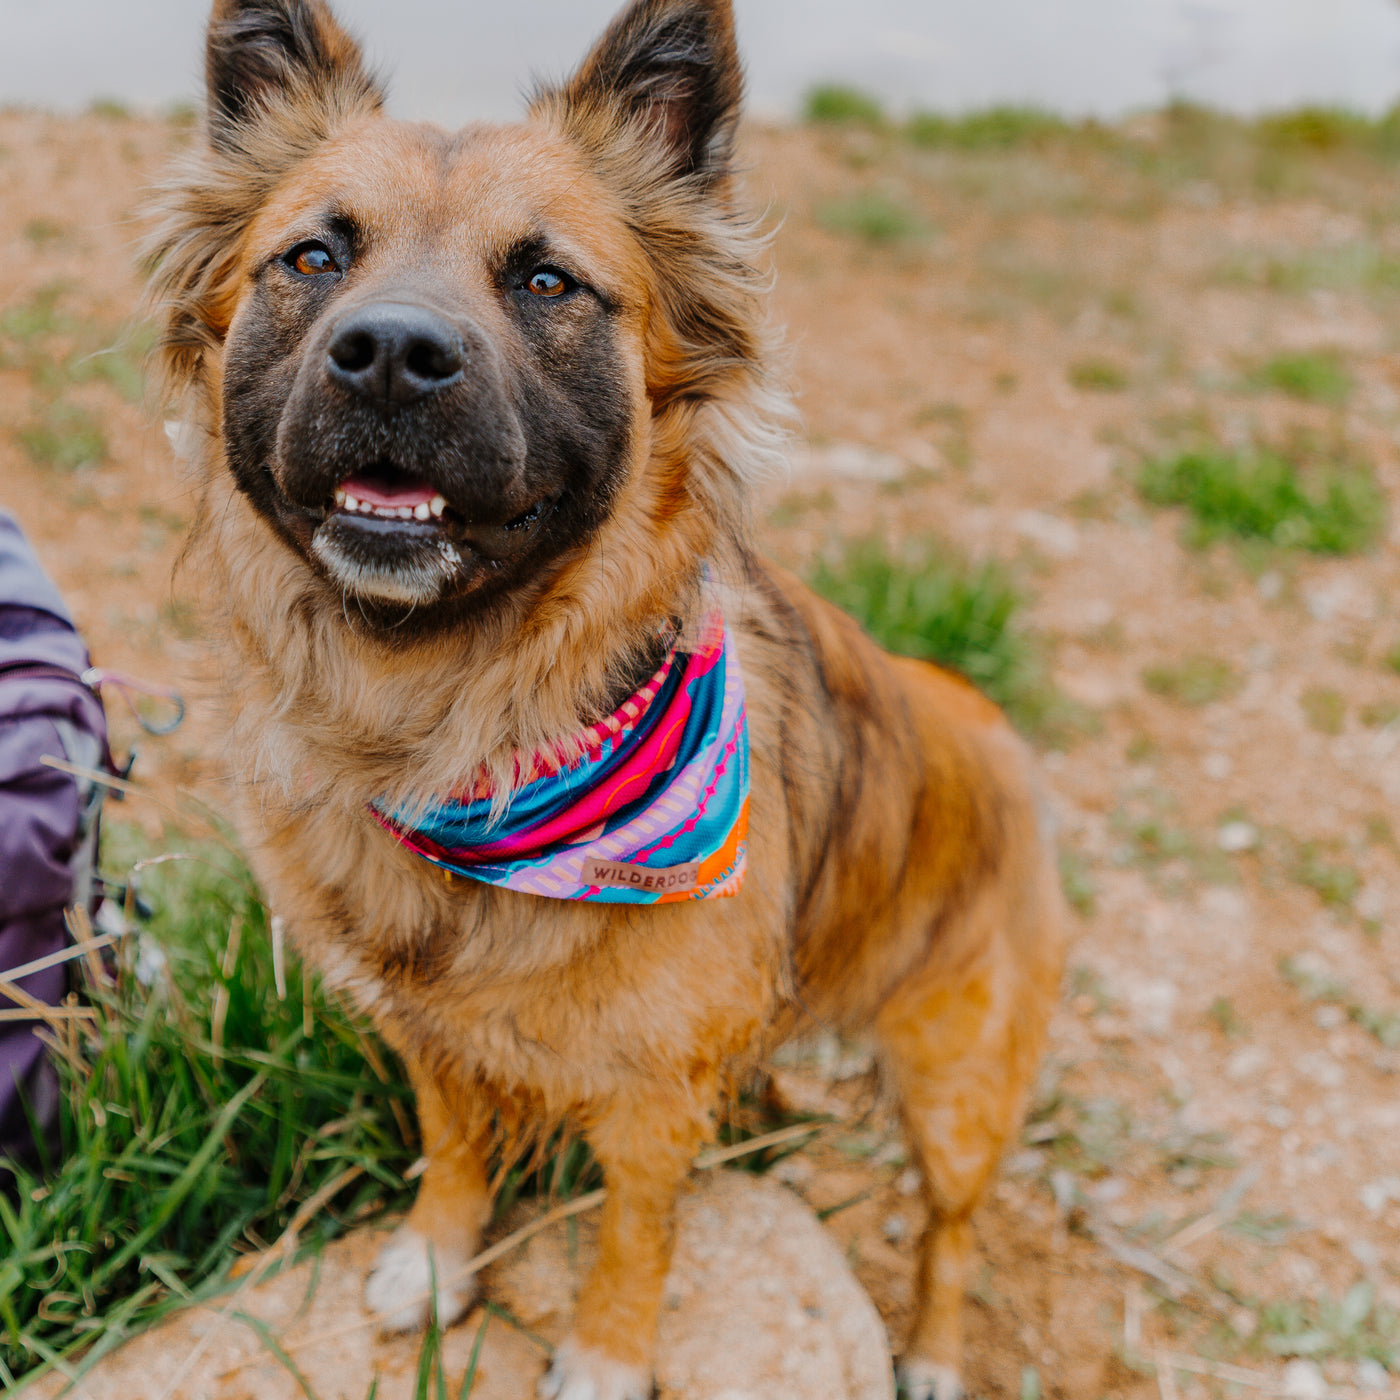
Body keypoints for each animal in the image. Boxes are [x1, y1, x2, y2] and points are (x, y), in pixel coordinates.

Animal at [147, 5, 1064, 1394]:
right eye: (311, 256)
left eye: (545, 282)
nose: (390, 357)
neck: (466, 736)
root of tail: (975, 711)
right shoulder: (430, 1030)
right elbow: (454, 1141)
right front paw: (438, 1259)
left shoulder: (650, 1093)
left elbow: (637, 1228)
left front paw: (604, 1352)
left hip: (957, 1087)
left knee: (950, 1231)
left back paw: (936, 1350)